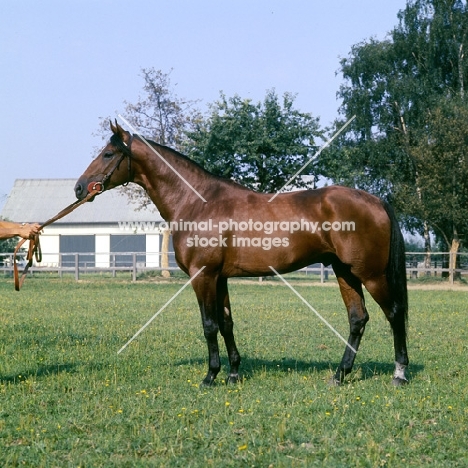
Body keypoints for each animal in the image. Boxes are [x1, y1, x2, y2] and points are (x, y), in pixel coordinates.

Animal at [75, 122, 408, 386]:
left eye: (108, 153)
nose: (79, 188)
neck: (198, 203)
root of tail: (376, 200)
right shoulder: (219, 278)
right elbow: (226, 323)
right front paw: (234, 373)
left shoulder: (203, 276)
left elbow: (209, 325)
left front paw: (210, 376)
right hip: (345, 272)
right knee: (357, 319)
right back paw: (339, 375)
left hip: (371, 274)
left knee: (394, 314)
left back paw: (399, 374)